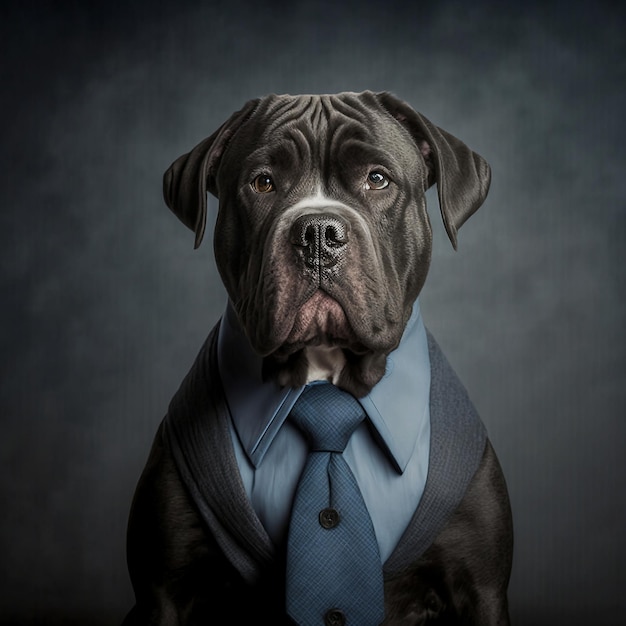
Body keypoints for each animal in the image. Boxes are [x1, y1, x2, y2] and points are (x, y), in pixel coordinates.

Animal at [123, 90, 512, 620]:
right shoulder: (164, 589)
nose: (318, 233)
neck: (325, 374)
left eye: (377, 178)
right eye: (262, 182)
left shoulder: (481, 587)